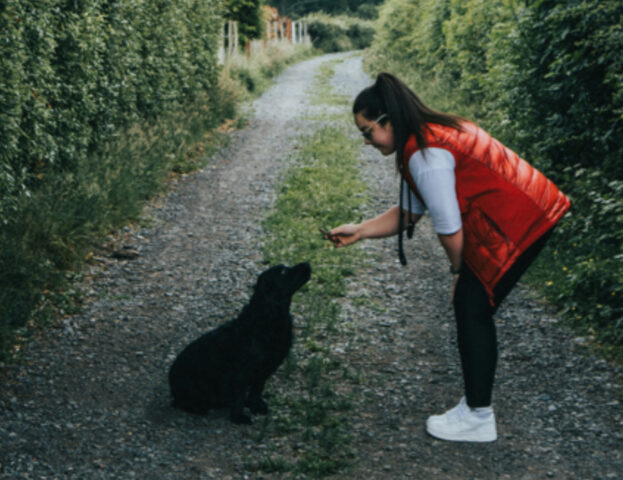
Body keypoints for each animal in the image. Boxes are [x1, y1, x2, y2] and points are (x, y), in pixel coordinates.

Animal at [168, 262, 312, 424]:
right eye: (283, 272)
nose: (307, 263)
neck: (267, 319)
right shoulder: (241, 374)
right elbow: (239, 397)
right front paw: (239, 417)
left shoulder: (263, 371)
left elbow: (256, 390)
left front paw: (256, 406)